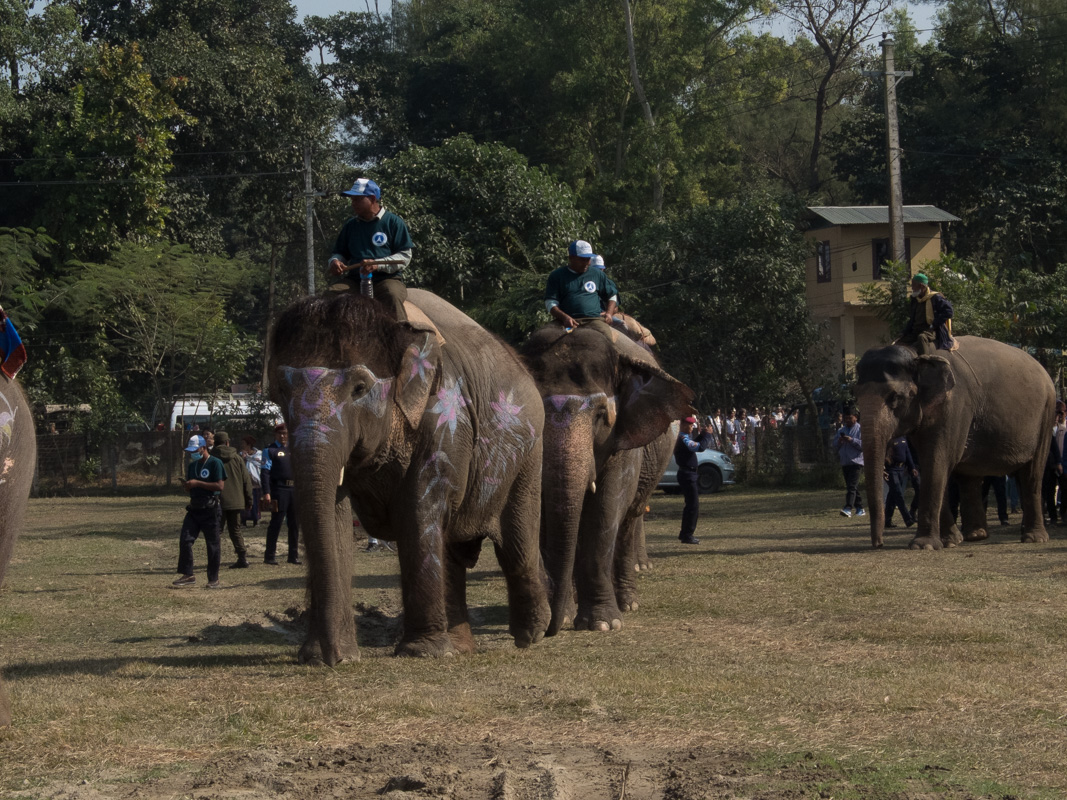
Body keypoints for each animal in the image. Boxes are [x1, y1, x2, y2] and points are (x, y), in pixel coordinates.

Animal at [268, 290, 550, 665]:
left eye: (360, 388)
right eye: (279, 394)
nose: (332, 659)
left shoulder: (443, 416)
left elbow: (419, 508)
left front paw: (422, 653)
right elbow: (334, 514)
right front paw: (327, 655)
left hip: (527, 453)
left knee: (516, 541)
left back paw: (532, 634)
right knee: (453, 548)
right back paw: (463, 646)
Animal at [522, 322, 691, 635]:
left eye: (601, 415)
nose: (551, 628)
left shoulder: (624, 439)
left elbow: (606, 508)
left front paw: (602, 624)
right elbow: (544, 515)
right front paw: (565, 617)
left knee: (628, 520)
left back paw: (628, 603)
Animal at [853, 339, 1054, 550]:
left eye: (895, 397)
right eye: (855, 395)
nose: (879, 544)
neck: (918, 354)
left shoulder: (954, 406)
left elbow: (937, 462)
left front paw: (923, 546)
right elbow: (930, 464)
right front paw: (949, 541)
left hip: (1046, 414)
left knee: (1032, 474)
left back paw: (1033, 538)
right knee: (971, 477)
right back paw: (976, 535)